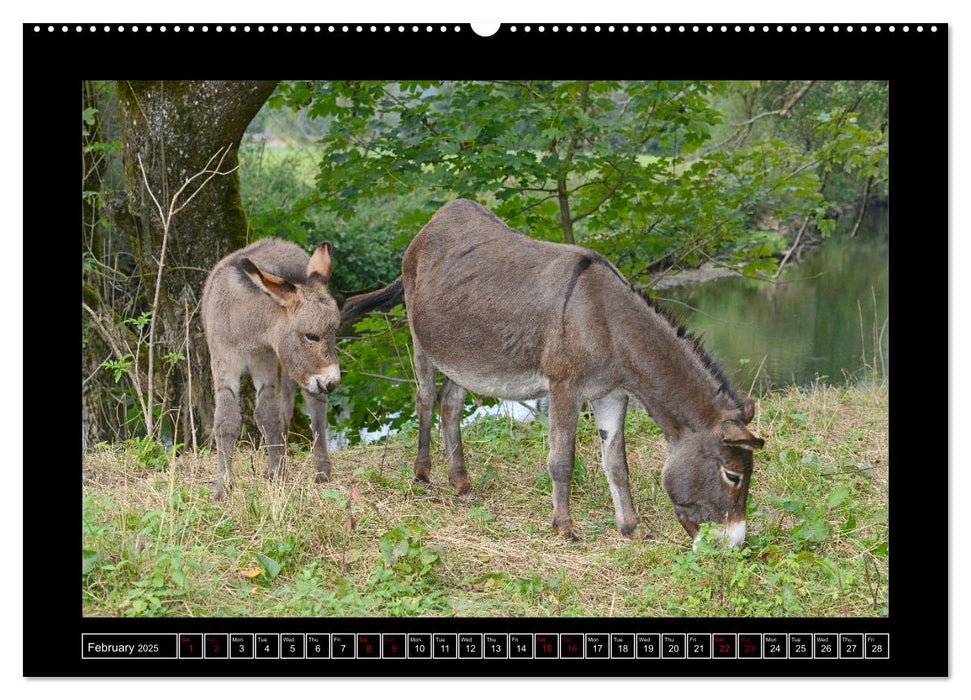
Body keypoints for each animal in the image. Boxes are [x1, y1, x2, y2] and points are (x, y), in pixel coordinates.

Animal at [201, 239, 342, 498]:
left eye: (334, 333)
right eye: (311, 336)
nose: (332, 382)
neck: (245, 320)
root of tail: (282, 243)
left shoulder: (264, 359)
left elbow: (267, 414)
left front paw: (278, 474)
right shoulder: (223, 361)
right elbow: (226, 420)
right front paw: (223, 485)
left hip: (294, 370)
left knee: (314, 408)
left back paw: (321, 468)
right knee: (286, 409)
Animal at [350, 200, 768, 544]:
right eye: (733, 476)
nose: (735, 544)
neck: (606, 322)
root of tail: (432, 223)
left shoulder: (611, 394)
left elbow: (617, 465)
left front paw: (631, 528)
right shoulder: (564, 387)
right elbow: (562, 461)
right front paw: (564, 528)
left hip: (464, 355)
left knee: (449, 404)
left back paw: (462, 483)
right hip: (420, 336)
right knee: (423, 399)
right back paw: (422, 475)